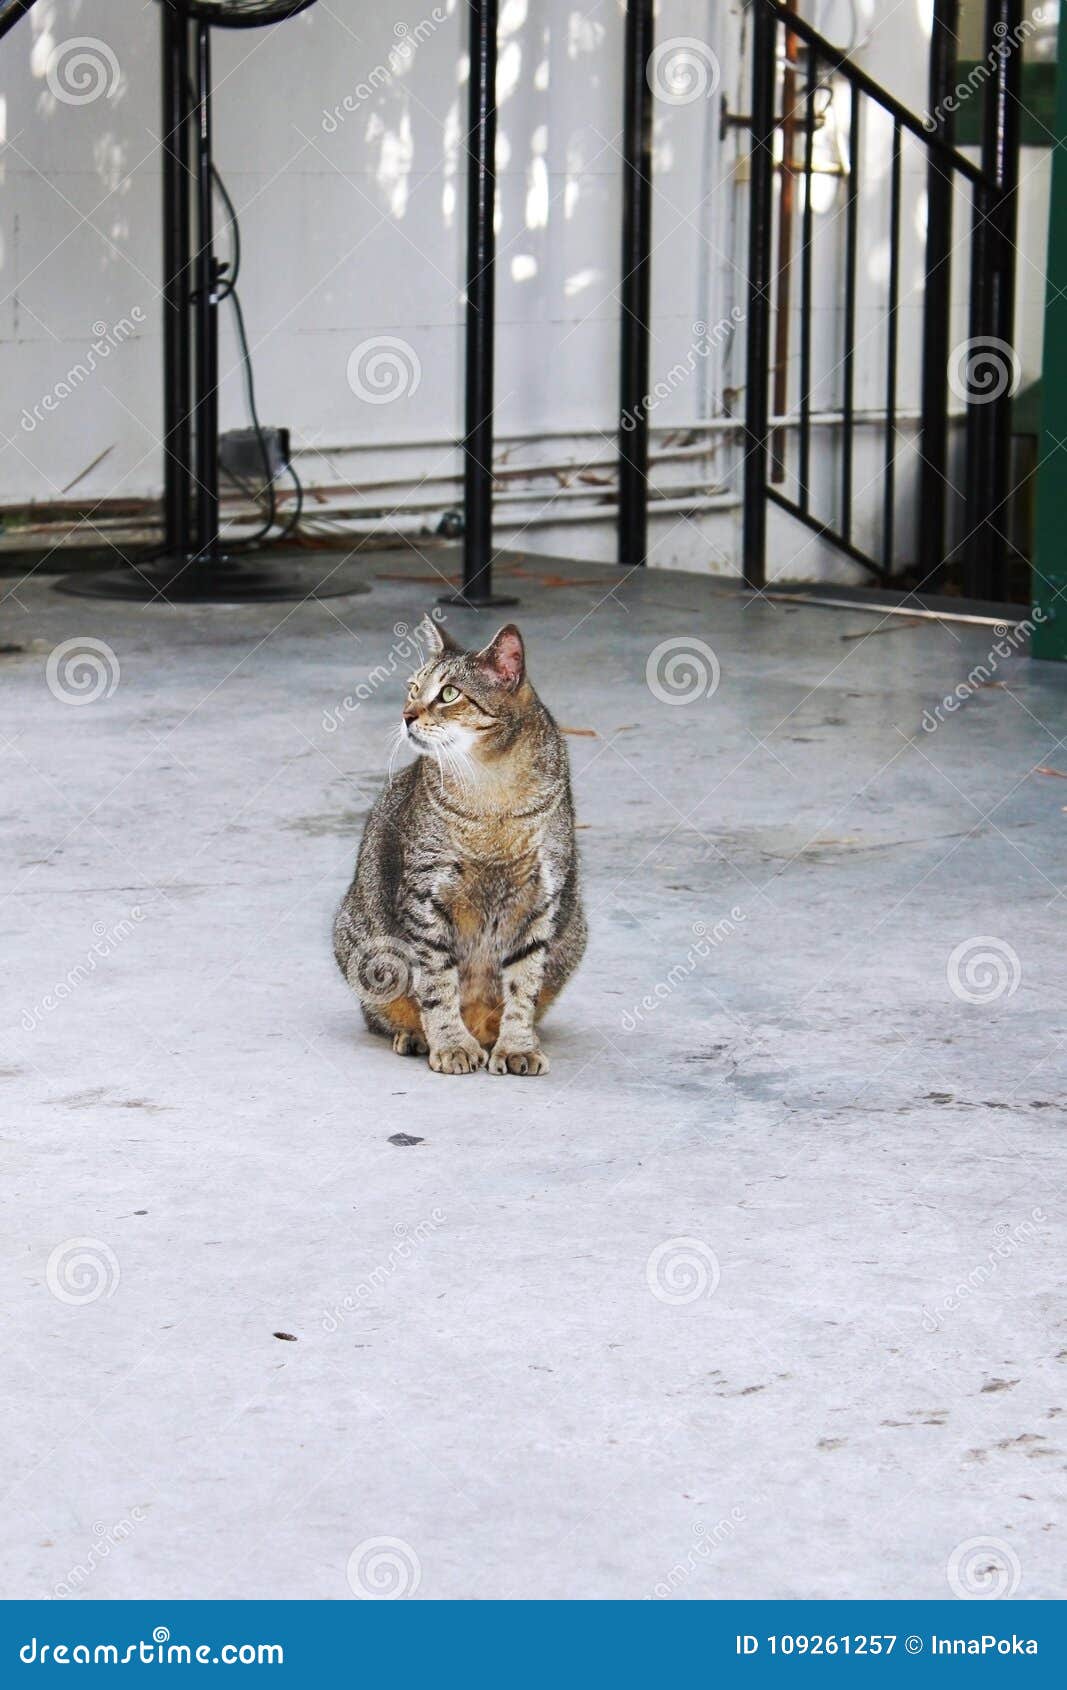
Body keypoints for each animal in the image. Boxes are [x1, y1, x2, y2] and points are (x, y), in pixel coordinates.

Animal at [331, 615, 585, 1074]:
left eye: (449, 694)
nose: (406, 715)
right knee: (382, 1012)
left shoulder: (541, 897)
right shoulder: (424, 893)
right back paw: (418, 1035)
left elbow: (523, 985)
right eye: (413, 687)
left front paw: (517, 1045)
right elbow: (436, 983)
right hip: (364, 943)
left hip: (573, 933)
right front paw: (450, 1043)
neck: (493, 788)